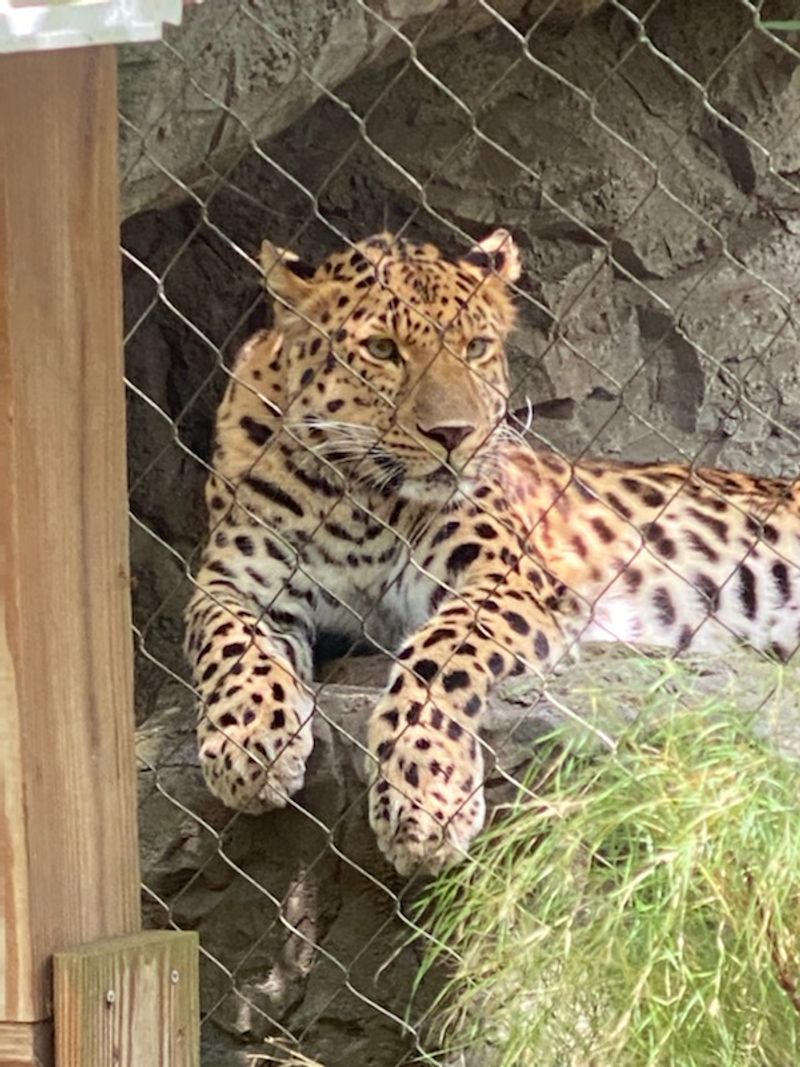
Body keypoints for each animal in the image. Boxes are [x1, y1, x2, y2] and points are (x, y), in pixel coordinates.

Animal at [185, 226, 800, 877]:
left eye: (476, 346)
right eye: (381, 349)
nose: (454, 434)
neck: (361, 500)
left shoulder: (509, 575)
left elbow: (437, 655)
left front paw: (424, 794)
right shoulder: (232, 580)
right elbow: (230, 640)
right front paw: (248, 740)